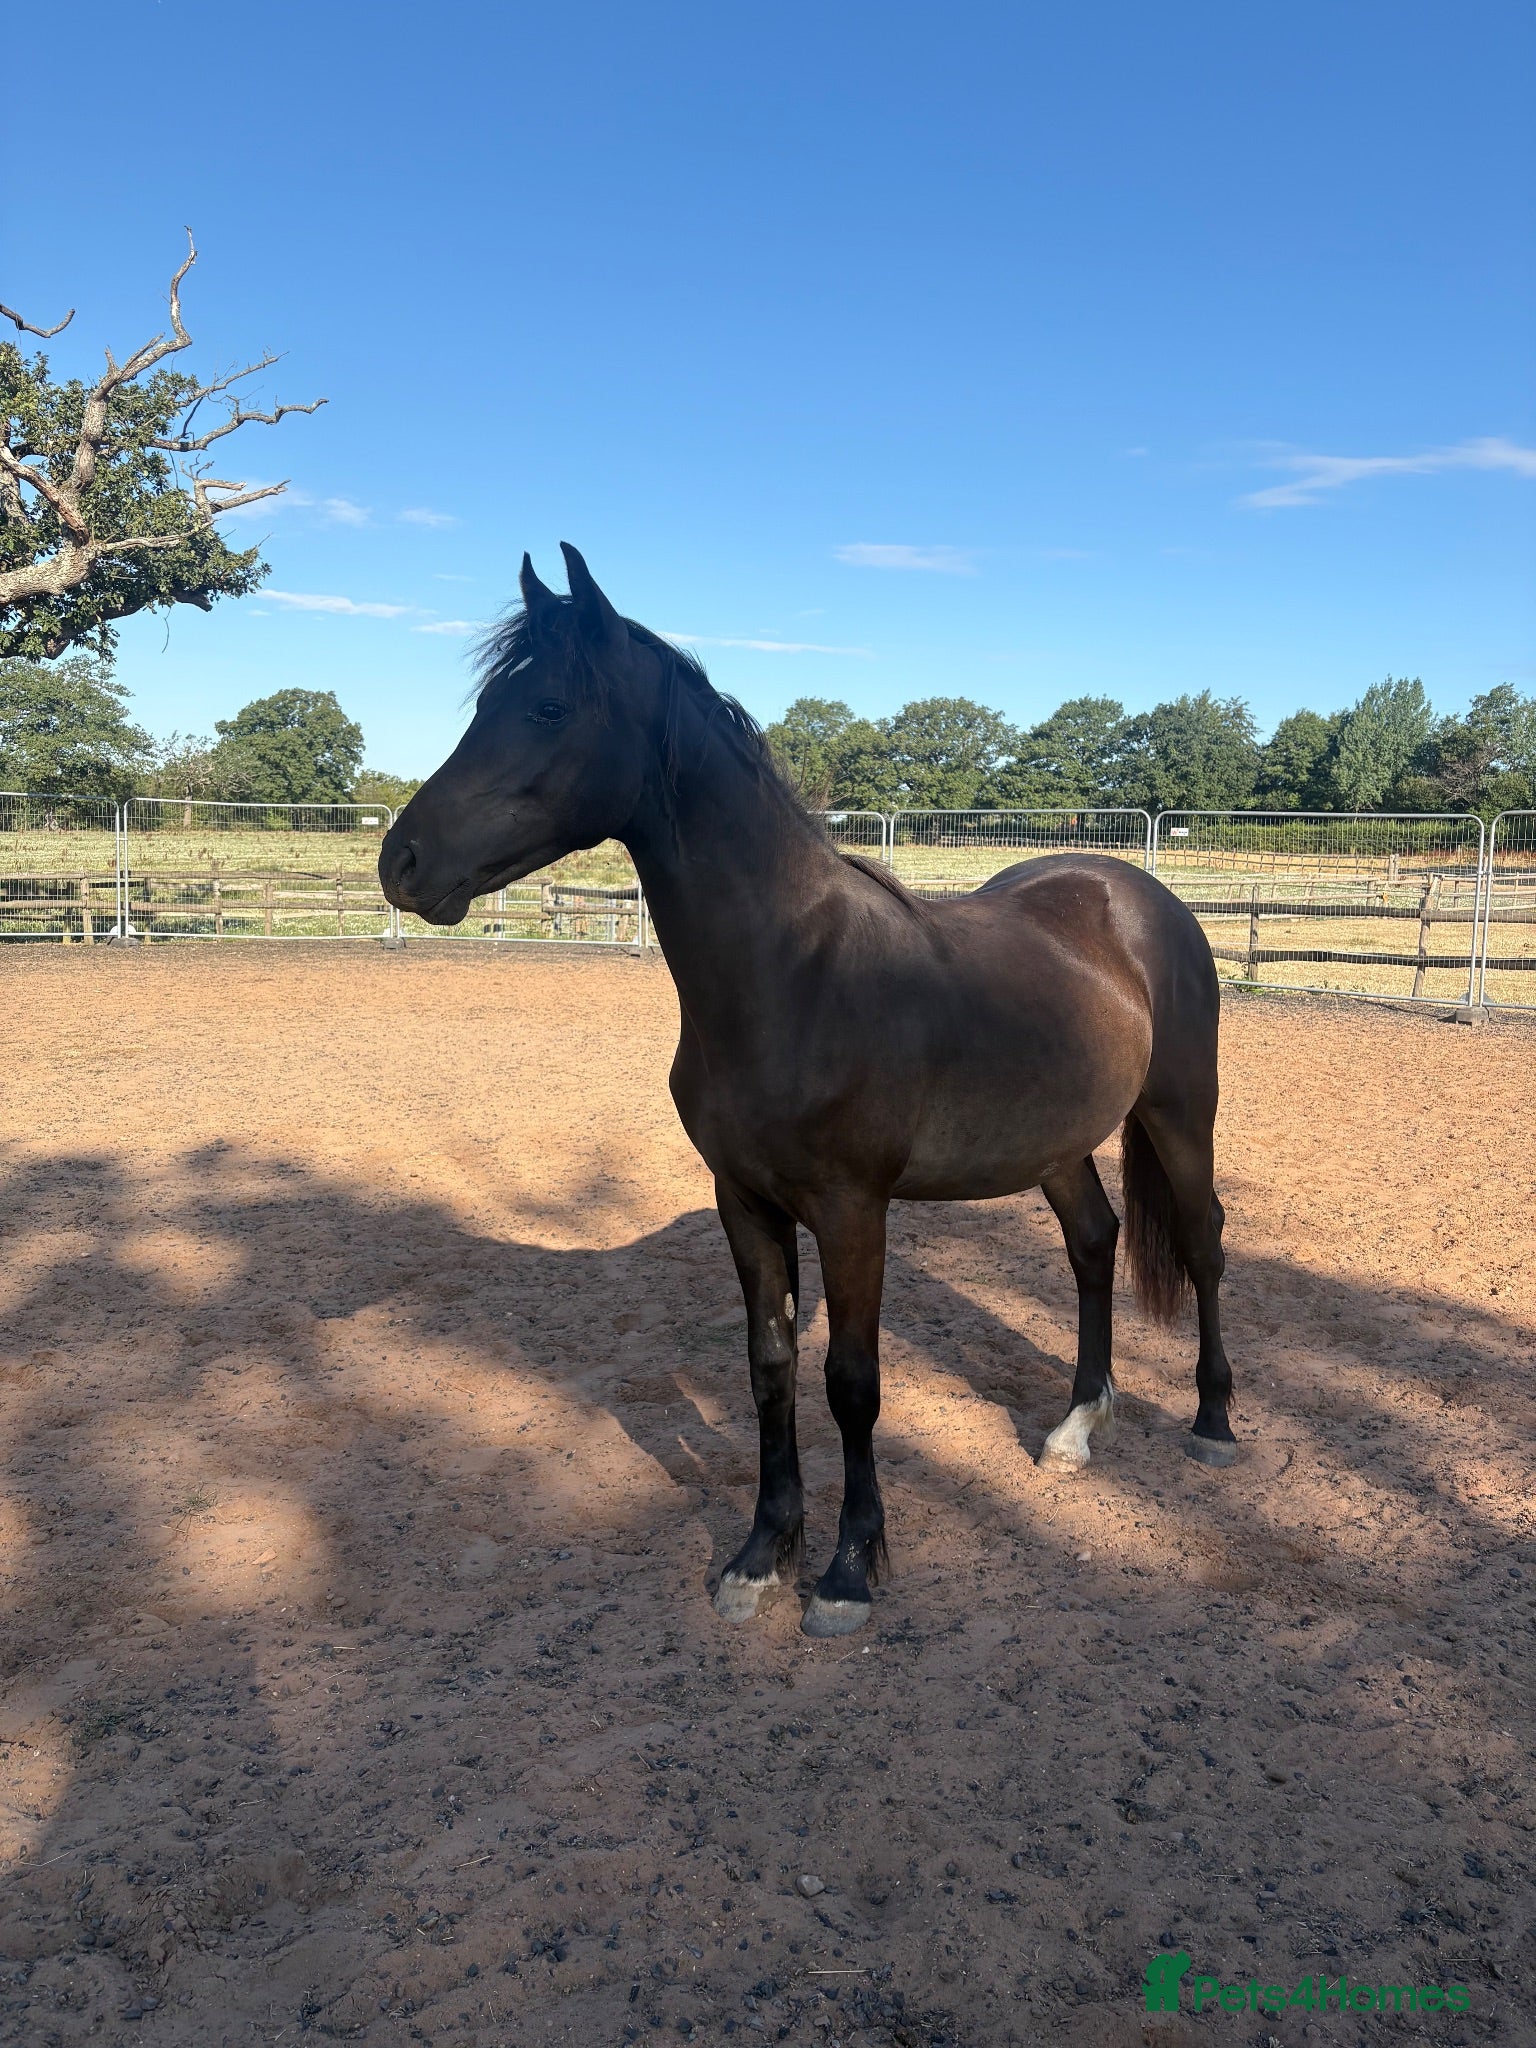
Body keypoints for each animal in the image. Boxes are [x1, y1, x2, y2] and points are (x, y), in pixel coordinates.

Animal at [380, 545, 1237, 1637]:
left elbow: (851, 1382)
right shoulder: (744, 1201)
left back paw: (1213, 1420)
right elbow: (770, 1367)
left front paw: (846, 1571)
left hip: (1179, 1114)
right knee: (1093, 1244)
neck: (794, 970)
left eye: (546, 706)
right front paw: (760, 1556)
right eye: (488, 701)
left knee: (1203, 1241)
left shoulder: (853, 1209)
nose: (401, 860)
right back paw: (1077, 1429)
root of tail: (1137, 895)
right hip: (1057, 1144)